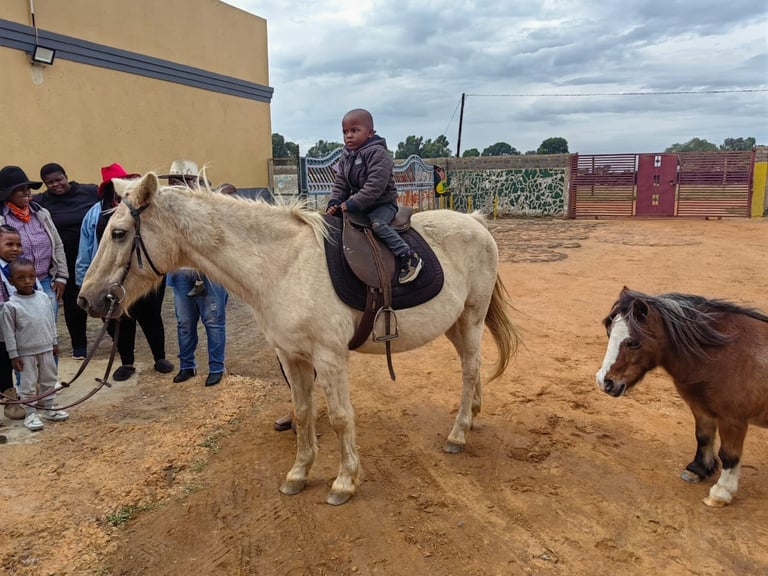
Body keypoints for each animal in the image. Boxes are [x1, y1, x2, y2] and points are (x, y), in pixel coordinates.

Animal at [77, 173, 520, 505]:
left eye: (119, 233)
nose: (87, 298)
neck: (283, 265)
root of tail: (476, 222)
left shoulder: (329, 357)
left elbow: (340, 418)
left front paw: (344, 481)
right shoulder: (292, 356)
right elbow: (303, 412)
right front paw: (299, 473)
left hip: (472, 317)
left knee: (470, 369)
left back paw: (458, 433)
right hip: (455, 324)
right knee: (472, 366)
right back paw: (472, 416)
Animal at [596, 286, 768, 507]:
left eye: (633, 342)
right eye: (609, 333)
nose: (604, 382)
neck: (724, 355)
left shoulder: (733, 419)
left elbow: (729, 455)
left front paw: (720, 493)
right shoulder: (701, 408)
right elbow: (703, 437)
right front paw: (697, 470)